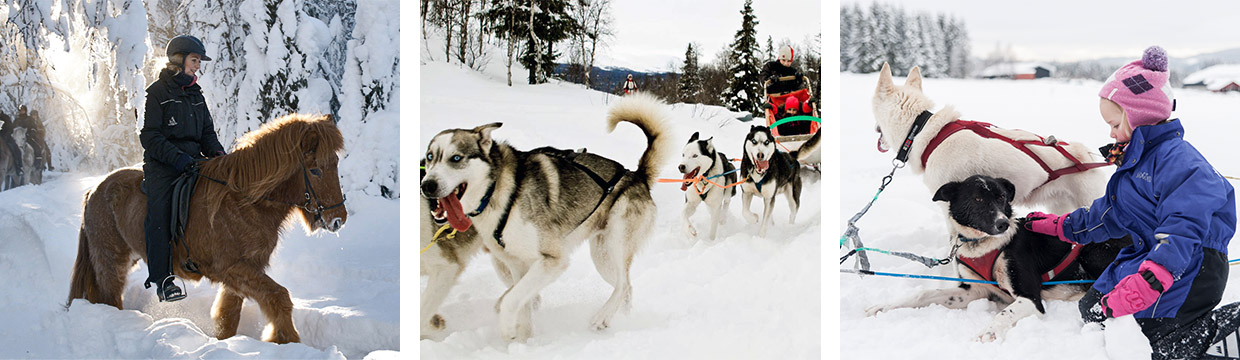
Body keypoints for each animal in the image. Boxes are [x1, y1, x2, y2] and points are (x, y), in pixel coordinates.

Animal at [67, 112, 349, 342]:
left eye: (335, 164)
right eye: (315, 170)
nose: (338, 219)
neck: (244, 202)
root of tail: (94, 189)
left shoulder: (246, 270)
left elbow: (228, 316)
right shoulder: (231, 268)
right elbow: (279, 297)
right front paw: (285, 340)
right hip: (110, 261)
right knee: (110, 297)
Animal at [868, 175, 1130, 342]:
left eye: (1002, 197)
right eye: (977, 199)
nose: (1002, 223)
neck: (981, 247)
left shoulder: (1030, 298)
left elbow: (1005, 312)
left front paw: (988, 332)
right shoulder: (972, 291)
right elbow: (923, 294)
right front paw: (884, 306)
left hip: (1092, 250)